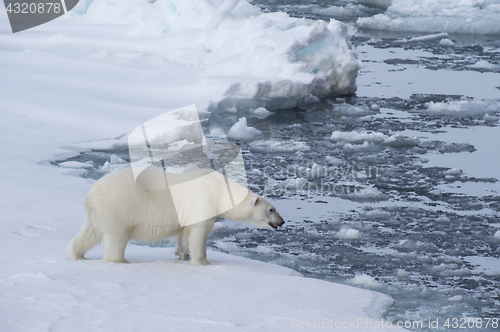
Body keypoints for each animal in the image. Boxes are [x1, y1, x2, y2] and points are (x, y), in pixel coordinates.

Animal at [68, 167, 284, 266]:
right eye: (272, 209)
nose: (281, 222)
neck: (220, 191)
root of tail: (92, 193)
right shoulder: (202, 201)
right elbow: (199, 233)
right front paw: (205, 262)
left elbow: (184, 234)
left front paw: (183, 255)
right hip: (119, 207)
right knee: (116, 236)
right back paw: (122, 261)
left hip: (98, 211)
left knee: (90, 233)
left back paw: (77, 254)